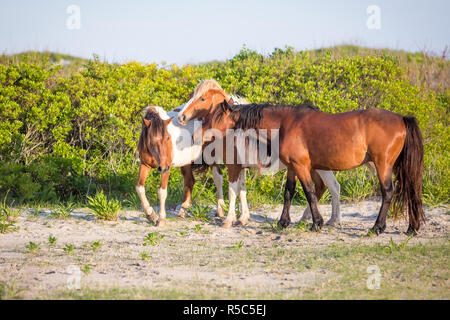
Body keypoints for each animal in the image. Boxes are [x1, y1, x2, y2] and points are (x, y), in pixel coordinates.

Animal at [178, 81, 342, 229]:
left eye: (202, 99)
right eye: (191, 95)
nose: (181, 116)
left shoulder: (233, 167)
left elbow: (233, 191)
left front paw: (229, 220)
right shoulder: (241, 167)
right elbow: (242, 191)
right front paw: (242, 218)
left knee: (329, 187)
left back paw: (327, 219)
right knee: (328, 186)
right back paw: (319, 218)